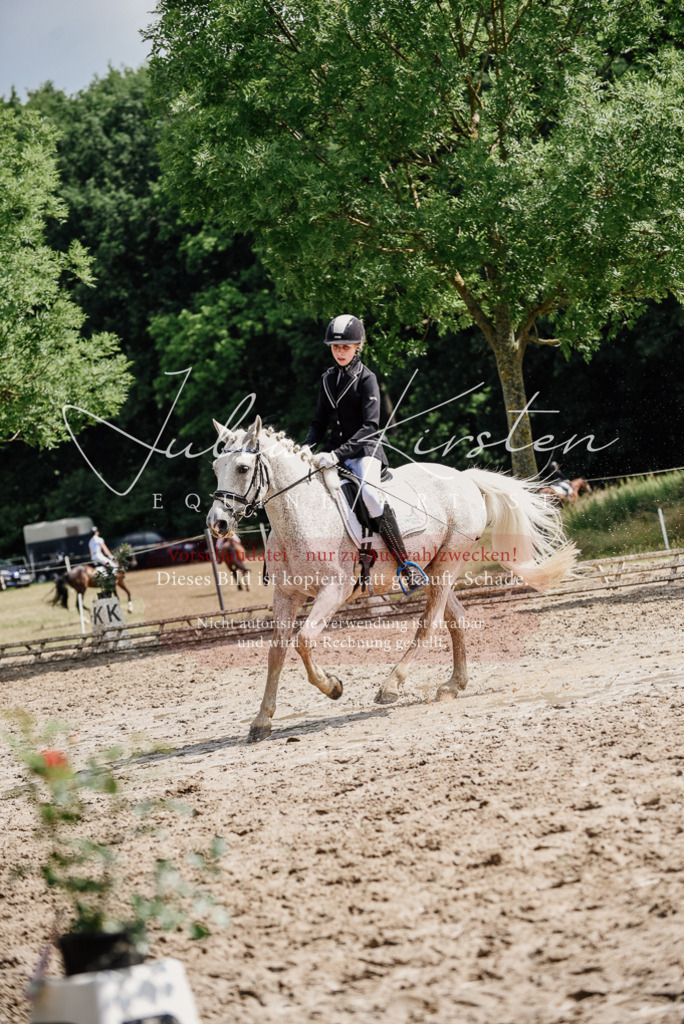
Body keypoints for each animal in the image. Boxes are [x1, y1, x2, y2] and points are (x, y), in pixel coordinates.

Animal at [206, 416, 576, 743]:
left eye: (242, 468)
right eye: (215, 467)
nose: (218, 523)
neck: (301, 514)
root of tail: (465, 479)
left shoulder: (333, 591)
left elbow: (304, 641)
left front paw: (333, 687)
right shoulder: (287, 594)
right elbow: (276, 652)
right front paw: (261, 721)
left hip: (447, 564)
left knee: (429, 624)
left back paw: (391, 686)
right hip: (433, 570)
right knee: (456, 618)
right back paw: (452, 685)